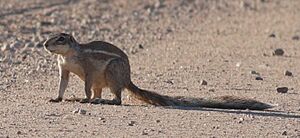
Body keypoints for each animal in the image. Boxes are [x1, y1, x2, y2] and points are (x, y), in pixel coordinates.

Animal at [42, 32, 274, 110]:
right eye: (50, 35)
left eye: (60, 39)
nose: (44, 44)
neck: (68, 55)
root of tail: (127, 79)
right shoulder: (63, 69)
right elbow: (62, 84)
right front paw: (57, 98)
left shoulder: (88, 69)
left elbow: (87, 85)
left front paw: (84, 98)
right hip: (105, 80)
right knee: (102, 93)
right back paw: (93, 99)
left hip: (112, 73)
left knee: (117, 98)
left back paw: (102, 101)